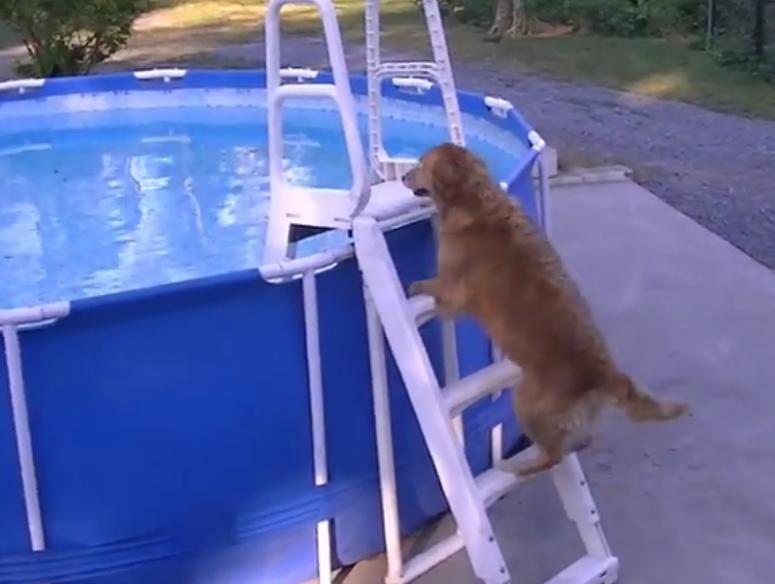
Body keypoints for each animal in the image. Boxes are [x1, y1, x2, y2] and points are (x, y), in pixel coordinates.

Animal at [404, 144, 688, 476]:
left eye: (420, 164)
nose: (404, 176)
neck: (475, 199)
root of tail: (606, 373)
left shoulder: (453, 291)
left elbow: (431, 288)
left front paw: (414, 286)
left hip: (526, 402)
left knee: (552, 456)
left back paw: (517, 466)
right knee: (580, 441)